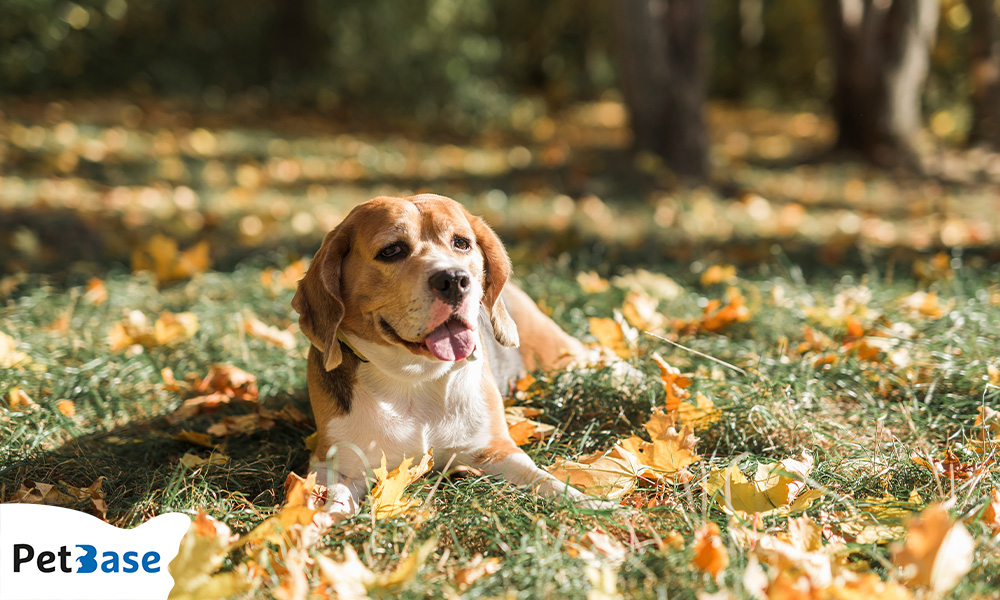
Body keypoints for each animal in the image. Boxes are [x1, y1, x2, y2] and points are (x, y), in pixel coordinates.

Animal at [288, 195, 600, 516]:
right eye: (391, 250)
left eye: (461, 243)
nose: (454, 279)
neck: (415, 377)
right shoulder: (335, 464)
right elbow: (331, 500)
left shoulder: (499, 451)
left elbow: (546, 481)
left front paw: (592, 504)